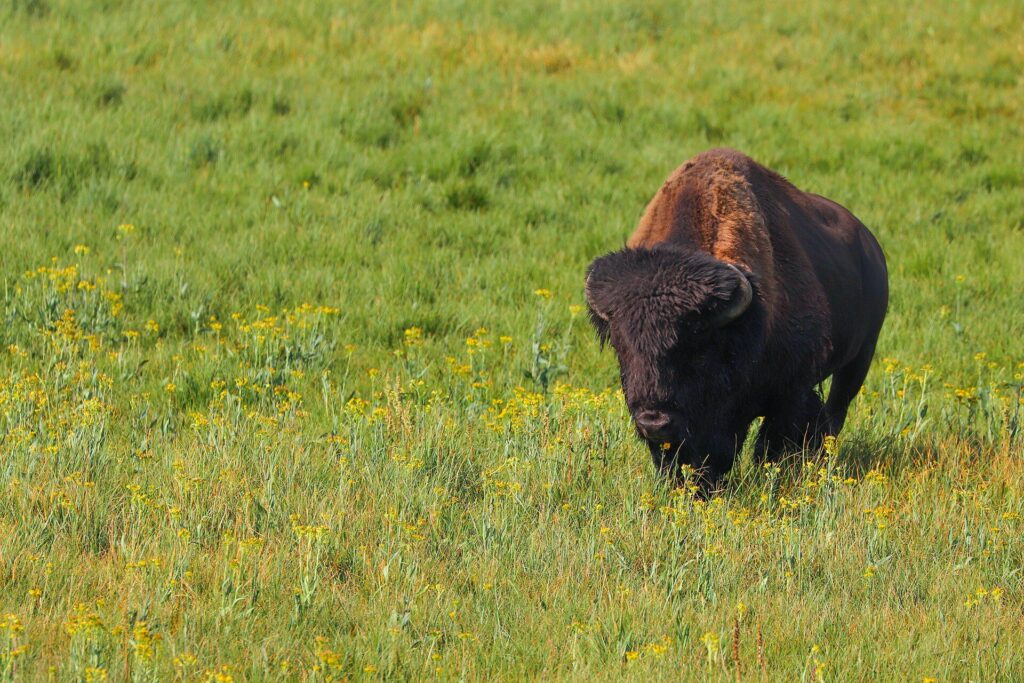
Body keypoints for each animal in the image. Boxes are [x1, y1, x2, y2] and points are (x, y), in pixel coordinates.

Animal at [585, 148, 888, 489]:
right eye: (620, 347)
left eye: (698, 348)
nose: (654, 421)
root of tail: (871, 246)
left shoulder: (788, 391)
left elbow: (769, 443)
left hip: (859, 359)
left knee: (834, 413)